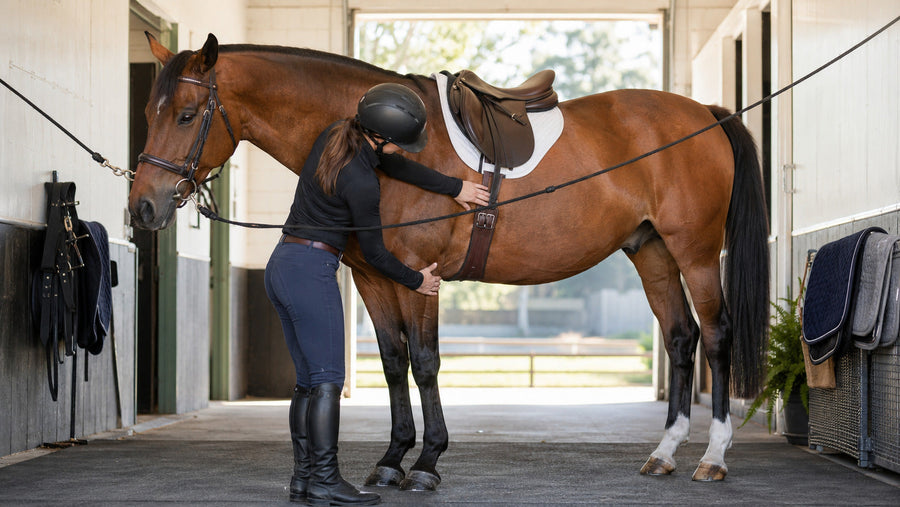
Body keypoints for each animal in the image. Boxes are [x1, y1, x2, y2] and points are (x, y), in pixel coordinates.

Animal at [129, 33, 769, 489]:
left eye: (186, 114)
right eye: (149, 113)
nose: (143, 207)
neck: (379, 147)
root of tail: (706, 114)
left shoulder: (422, 277)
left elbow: (427, 363)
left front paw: (427, 462)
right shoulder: (374, 276)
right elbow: (393, 362)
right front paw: (392, 458)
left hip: (695, 251)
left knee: (716, 337)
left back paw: (712, 458)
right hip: (651, 251)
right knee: (681, 337)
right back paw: (663, 453)